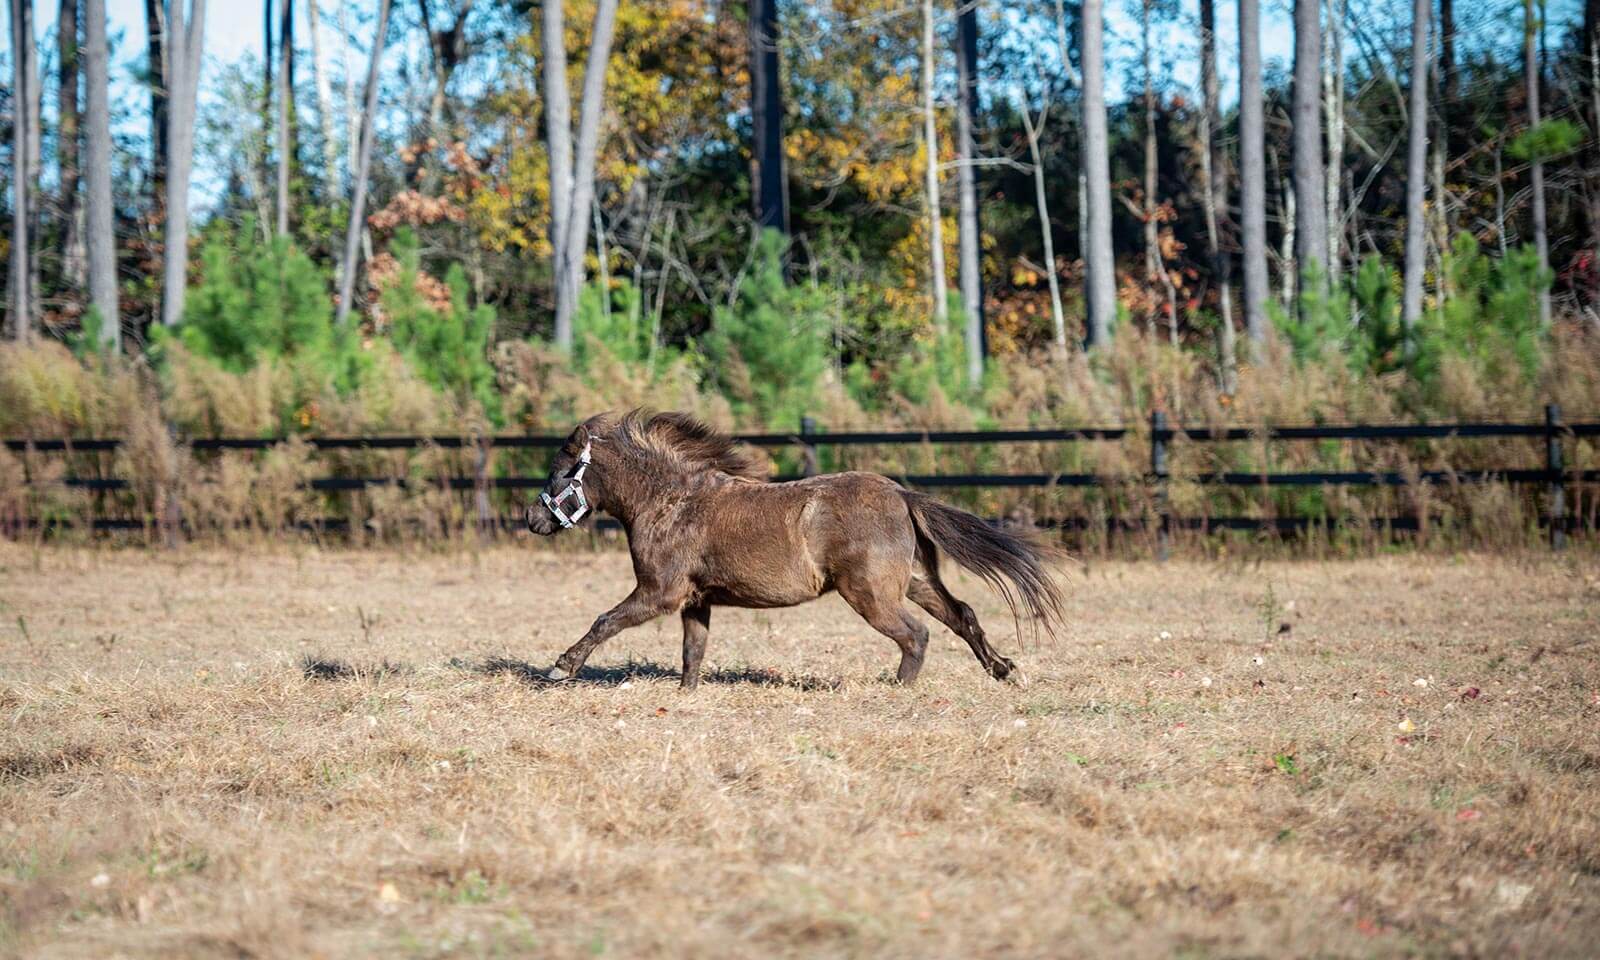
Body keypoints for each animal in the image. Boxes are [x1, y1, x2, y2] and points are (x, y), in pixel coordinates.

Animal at [524, 408, 1068, 684]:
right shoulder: (696, 600)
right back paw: (1005, 670)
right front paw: (685, 694)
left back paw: (898, 689)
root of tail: (902, 495)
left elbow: (605, 620)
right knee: (962, 616)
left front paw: (560, 667)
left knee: (917, 635)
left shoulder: (660, 592)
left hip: (871, 595)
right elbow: (692, 652)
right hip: (914, 582)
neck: (672, 502)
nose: (532, 519)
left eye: (561, 470)